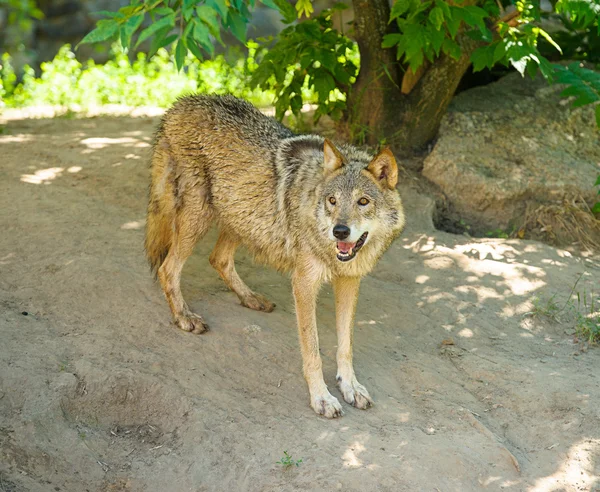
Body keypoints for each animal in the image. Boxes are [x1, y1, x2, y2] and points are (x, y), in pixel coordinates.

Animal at [145, 96, 406, 418]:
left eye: (363, 201)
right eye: (332, 201)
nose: (340, 231)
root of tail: (180, 104)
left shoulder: (349, 281)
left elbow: (345, 346)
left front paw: (350, 387)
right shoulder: (303, 284)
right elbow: (313, 349)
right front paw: (321, 397)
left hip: (243, 215)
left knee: (218, 258)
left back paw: (251, 298)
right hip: (200, 216)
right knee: (168, 269)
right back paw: (184, 317)